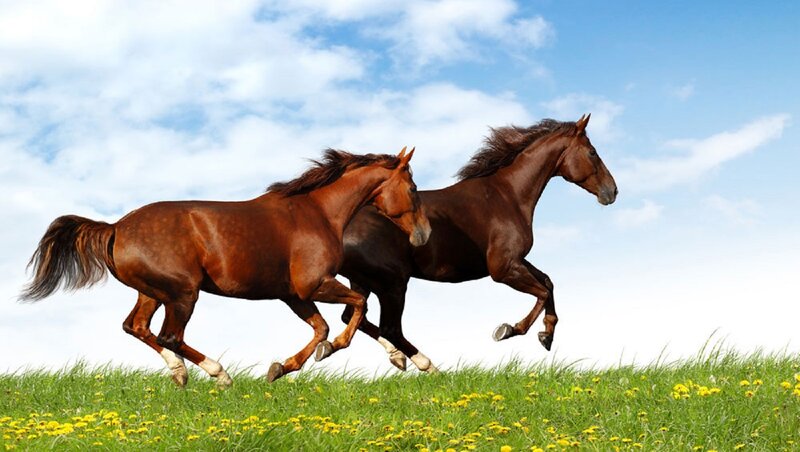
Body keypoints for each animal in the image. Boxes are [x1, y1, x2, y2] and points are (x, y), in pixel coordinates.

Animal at [21, 147, 431, 385]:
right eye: (412, 188)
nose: (424, 234)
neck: (317, 213)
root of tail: (115, 227)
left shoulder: (293, 295)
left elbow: (322, 327)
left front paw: (282, 367)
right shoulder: (313, 285)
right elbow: (354, 311)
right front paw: (333, 351)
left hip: (152, 292)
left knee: (136, 327)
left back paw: (179, 373)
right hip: (182, 294)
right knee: (169, 336)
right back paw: (219, 374)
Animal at [332, 115, 617, 372]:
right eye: (592, 152)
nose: (612, 192)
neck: (508, 195)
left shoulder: (515, 261)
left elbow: (548, 282)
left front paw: (546, 335)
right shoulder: (503, 269)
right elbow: (542, 292)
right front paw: (509, 330)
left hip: (365, 281)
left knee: (354, 316)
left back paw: (394, 357)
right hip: (393, 284)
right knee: (388, 327)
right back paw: (428, 366)